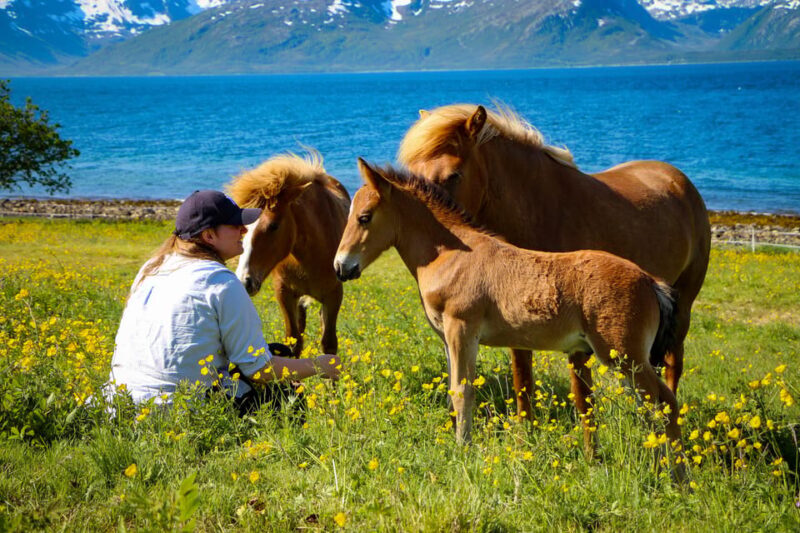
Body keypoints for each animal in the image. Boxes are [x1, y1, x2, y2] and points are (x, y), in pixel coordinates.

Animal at [227, 152, 350, 356]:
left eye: (274, 226)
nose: (245, 281)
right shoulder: (284, 293)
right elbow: (293, 341)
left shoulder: (334, 294)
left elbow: (329, 344)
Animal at [334, 160, 685, 479]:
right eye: (350, 215)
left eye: (364, 217)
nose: (341, 267)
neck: (451, 256)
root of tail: (650, 281)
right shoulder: (447, 338)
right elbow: (452, 391)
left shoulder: (462, 330)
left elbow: (462, 392)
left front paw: (463, 450)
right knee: (654, 408)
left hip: (624, 357)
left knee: (665, 403)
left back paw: (679, 479)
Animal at [398, 104, 711, 419]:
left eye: (454, 175)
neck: (540, 211)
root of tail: (678, 179)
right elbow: (522, 377)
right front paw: (527, 426)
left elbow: (581, 394)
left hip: (682, 307)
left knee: (672, 366)